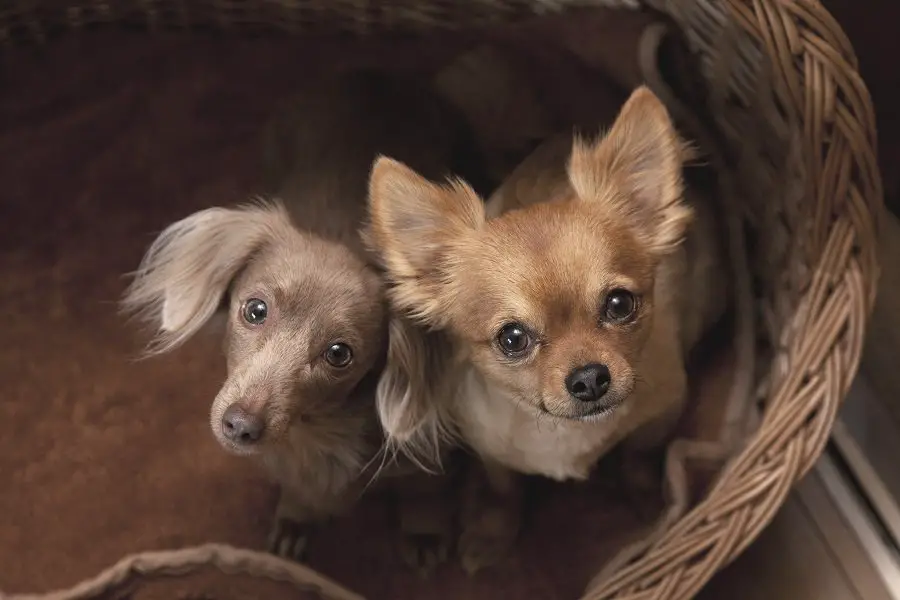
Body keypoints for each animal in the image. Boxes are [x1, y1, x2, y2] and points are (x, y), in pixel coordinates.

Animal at [120, 70, 468, 568]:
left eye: (339, 353)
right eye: (255, 310)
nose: (240, 426)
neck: (315, 433)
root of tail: (373, 76)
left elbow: (426, 485)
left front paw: (424, 531)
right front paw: (294, 519)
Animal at [366, 85, 732, 572]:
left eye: (620, 305)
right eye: (512, 339)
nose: (590, 377)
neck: (565, 432)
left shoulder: (665, 409)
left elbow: (639, 457)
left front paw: (652, 503)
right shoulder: (489, 449)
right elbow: (504, 491)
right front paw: (492, 534)